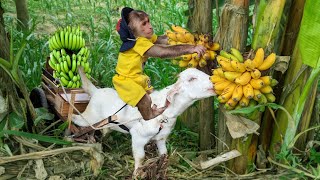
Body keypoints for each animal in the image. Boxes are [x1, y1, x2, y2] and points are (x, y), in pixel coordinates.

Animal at [71, 67, 216, 172]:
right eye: (192, 79)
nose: (213, 80)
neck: (165, 113)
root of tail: (96, 92)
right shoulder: (138, 137)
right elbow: (140, 158)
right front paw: (136, 174)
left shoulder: (161, 138)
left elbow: (164, 154)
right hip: (90, 116)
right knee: (77, 120)